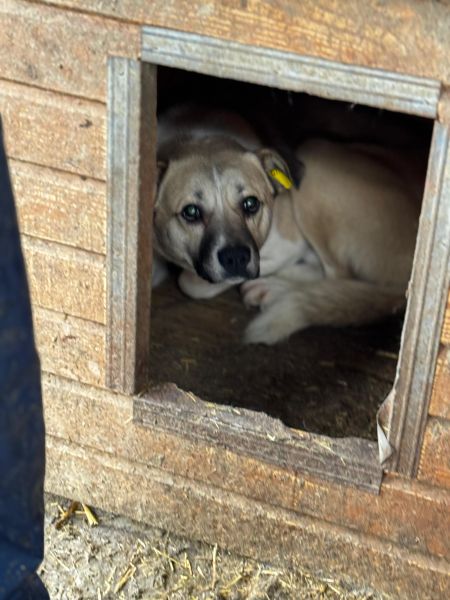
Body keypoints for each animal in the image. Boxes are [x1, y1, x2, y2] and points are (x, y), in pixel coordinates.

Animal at [153, 106, 422, 345]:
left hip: (315, 157)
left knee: (337, 275)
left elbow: (191, 283)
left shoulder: (286, 245)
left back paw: (274, 288)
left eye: (251, 204)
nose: (236, 258)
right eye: (191, 212)